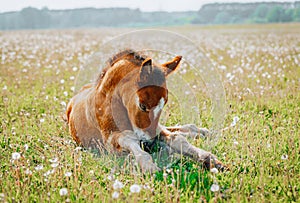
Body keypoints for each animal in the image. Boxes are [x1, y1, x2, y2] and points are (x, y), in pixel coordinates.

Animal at [65, 50, 225, 172]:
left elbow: (176, 138)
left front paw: (210, 160)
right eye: (142, 105)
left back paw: (203, 132)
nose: (150, 142)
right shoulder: (111, 141)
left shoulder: (156, 130)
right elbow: (130, 141)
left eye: (164, 104)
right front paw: (149, 167)